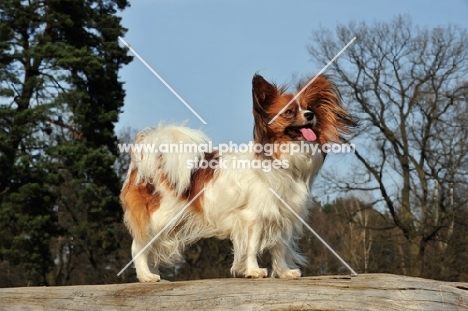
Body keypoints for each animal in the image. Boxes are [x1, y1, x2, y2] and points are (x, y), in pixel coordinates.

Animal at [119, 73, 354, 282]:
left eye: (310, 109)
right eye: (288, 112)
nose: (309, 116)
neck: (281, 158)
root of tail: (146, 158)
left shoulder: (282, 216)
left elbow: (279, 247)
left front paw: (284, 272)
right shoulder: (254, 217)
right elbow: (252, 246)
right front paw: (253, 271)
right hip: (159, 218)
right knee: (138, 246)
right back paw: (146, 276)